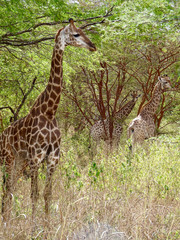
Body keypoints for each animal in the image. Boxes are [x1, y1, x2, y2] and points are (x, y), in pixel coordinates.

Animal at [0, 18, 96, 223]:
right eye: (76, 34)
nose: (93, 46)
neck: (50, 111)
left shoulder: (53, 158)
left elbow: (47, 194)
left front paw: (47, 225)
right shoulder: (36, 157)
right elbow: (34, 194)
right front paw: (32, 225)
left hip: (19, 161)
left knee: (10, 189)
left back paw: (7, 218)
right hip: (8, 159)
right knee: (7, 188)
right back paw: (6, 219)